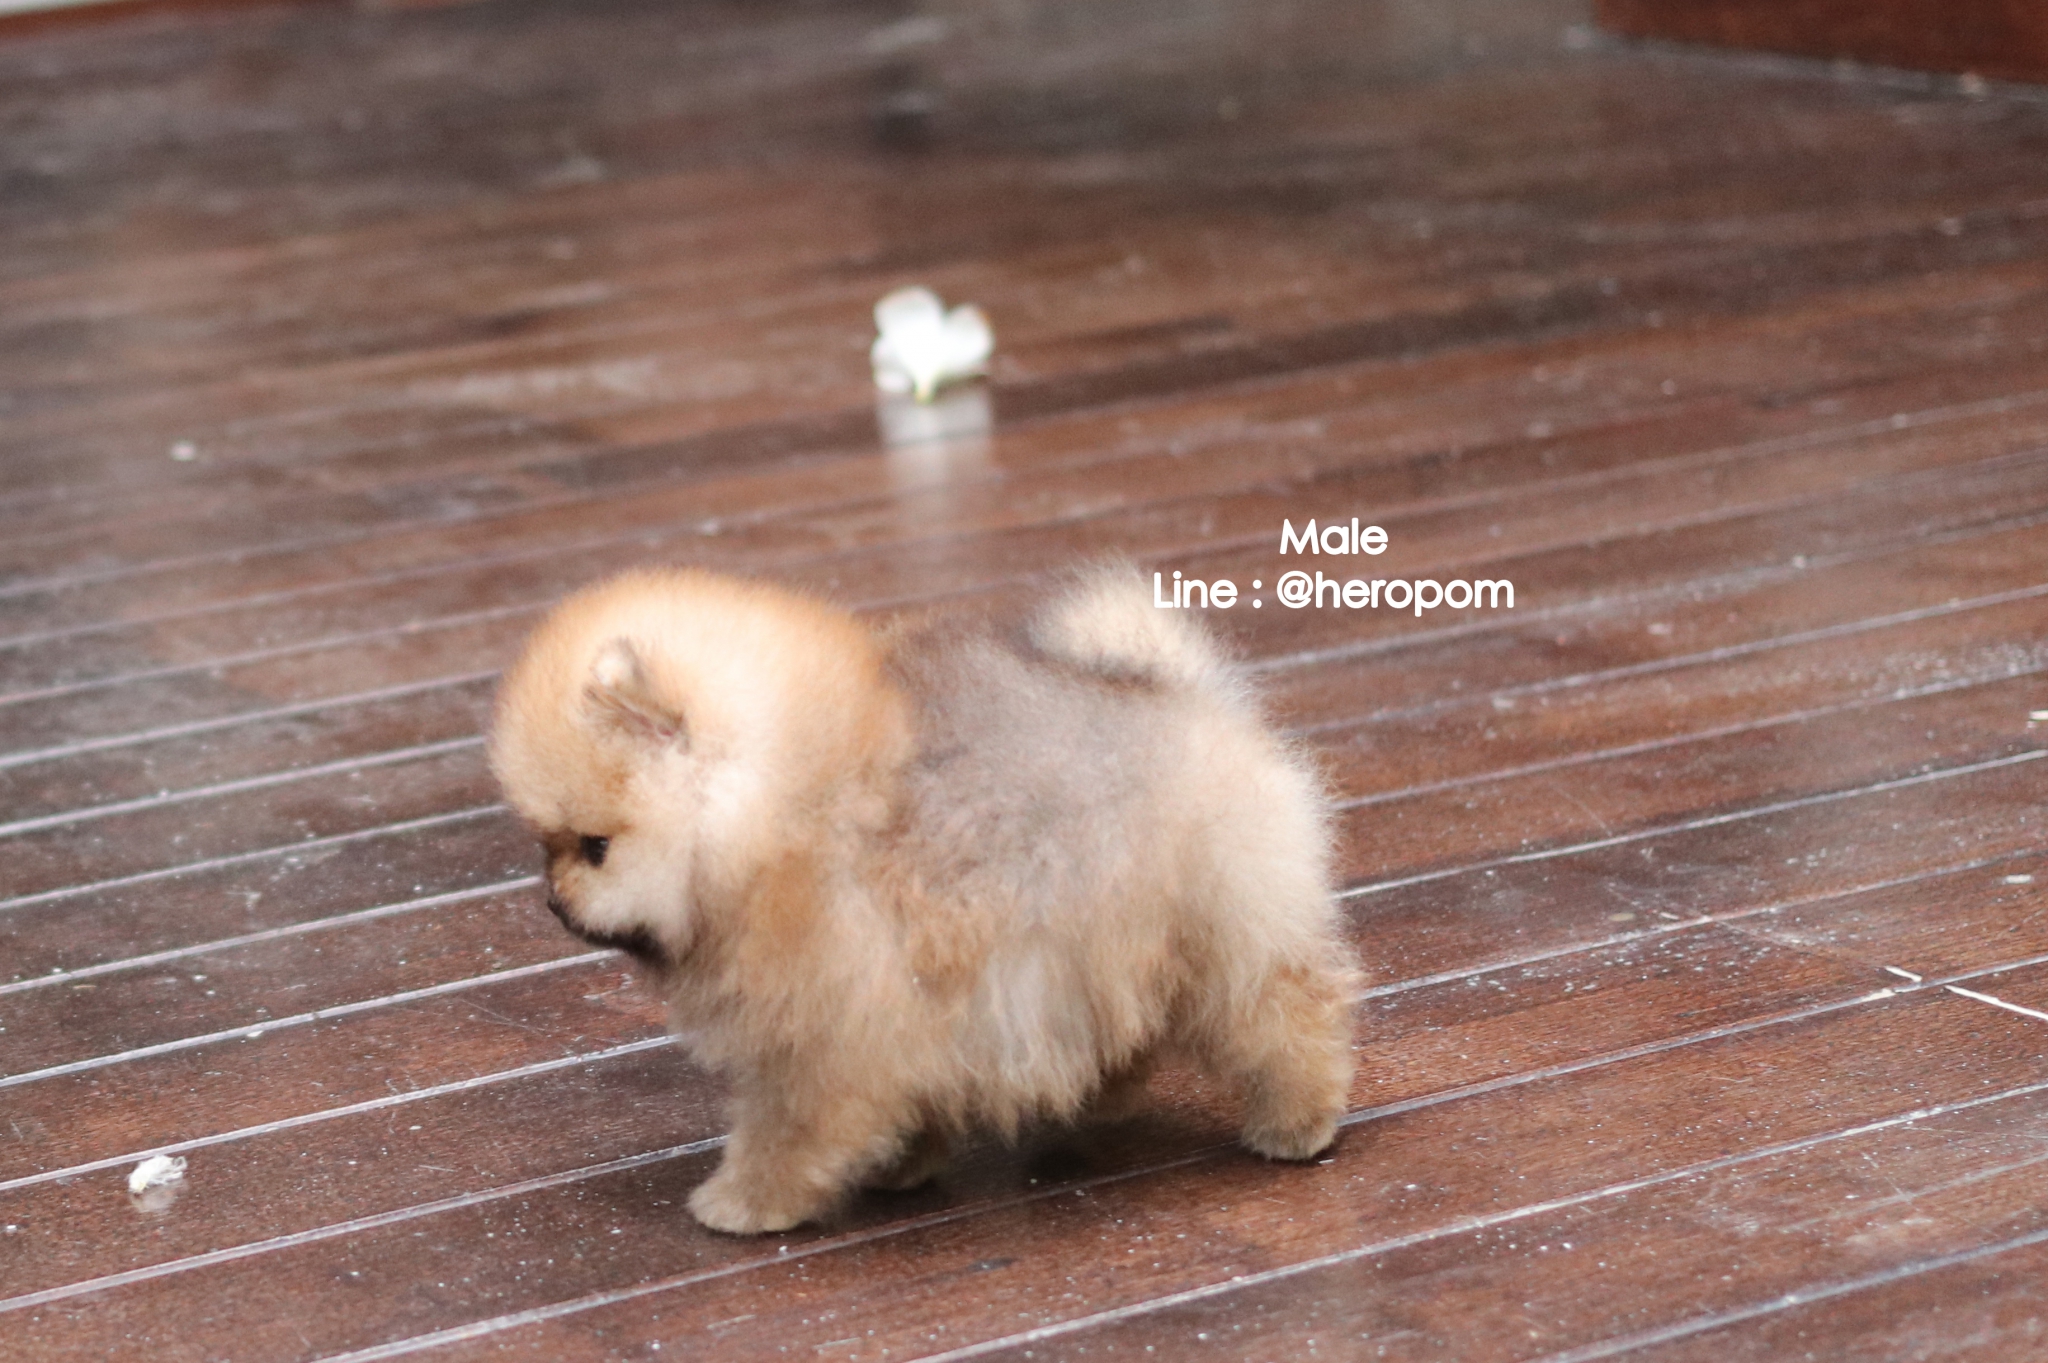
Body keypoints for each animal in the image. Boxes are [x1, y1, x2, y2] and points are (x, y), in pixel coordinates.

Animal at [488, 565, 1357, 1234]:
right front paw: (901, 1161)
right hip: (1107, 942)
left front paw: (744, 1203)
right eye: (548, 844)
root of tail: (1182, 688)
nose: (553, 902)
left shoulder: (825, 1024)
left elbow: (787, 1127)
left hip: (1223, 926)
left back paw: (1297, 1122)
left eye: (594, 846)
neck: (765, 813)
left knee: (1288, 1012)